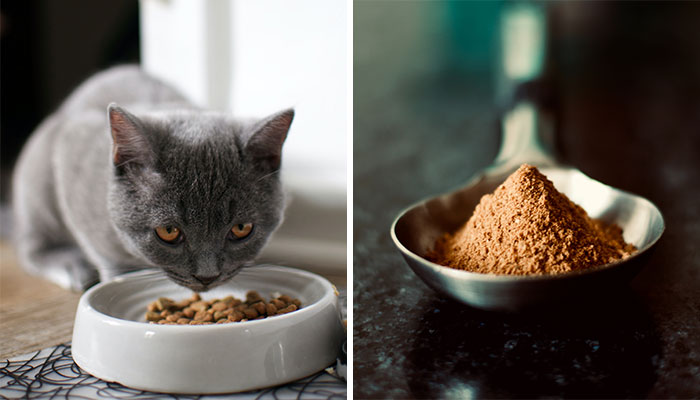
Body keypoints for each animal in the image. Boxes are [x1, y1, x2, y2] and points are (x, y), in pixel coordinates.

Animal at [13, 65, 292, 290]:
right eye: (168, 232)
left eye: (241, 229)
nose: (207, 276)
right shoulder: (73, 155)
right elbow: (104, 253)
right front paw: (117, 278)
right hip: (38, 177)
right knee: (30, 246)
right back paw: (70, 267)